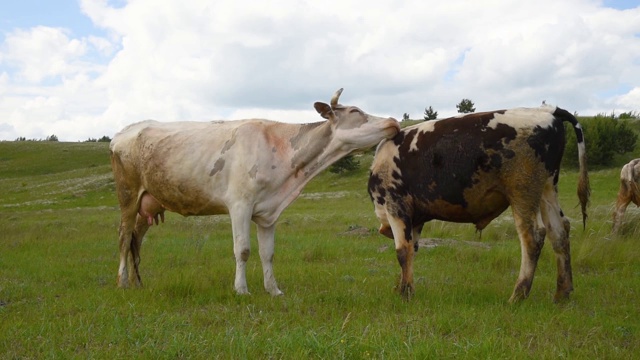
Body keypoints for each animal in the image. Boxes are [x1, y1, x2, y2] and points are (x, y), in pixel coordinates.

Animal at [110, 88, 400, 296]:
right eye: (355, 110)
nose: (393, 121)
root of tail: (123, 132)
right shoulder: (240, 204)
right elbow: (243, 250)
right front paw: (241, 289)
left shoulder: (268, 212)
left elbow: (267, 253)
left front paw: (273, 290)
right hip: (127, 195)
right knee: (124, 237)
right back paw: (122, 283)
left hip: (147, 203)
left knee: (136, 239)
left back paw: (137, 283)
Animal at [368, 105, 592, 302]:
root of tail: (548, 109)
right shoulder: (415, 218)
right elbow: (412, 250)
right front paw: (403, 288)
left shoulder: (395, 205)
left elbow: (403, 251)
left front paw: (404, 294)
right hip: (547, 188)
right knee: (560, 232)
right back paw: (562, 293)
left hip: (523, 191)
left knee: (534, 236)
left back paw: (518, 295)